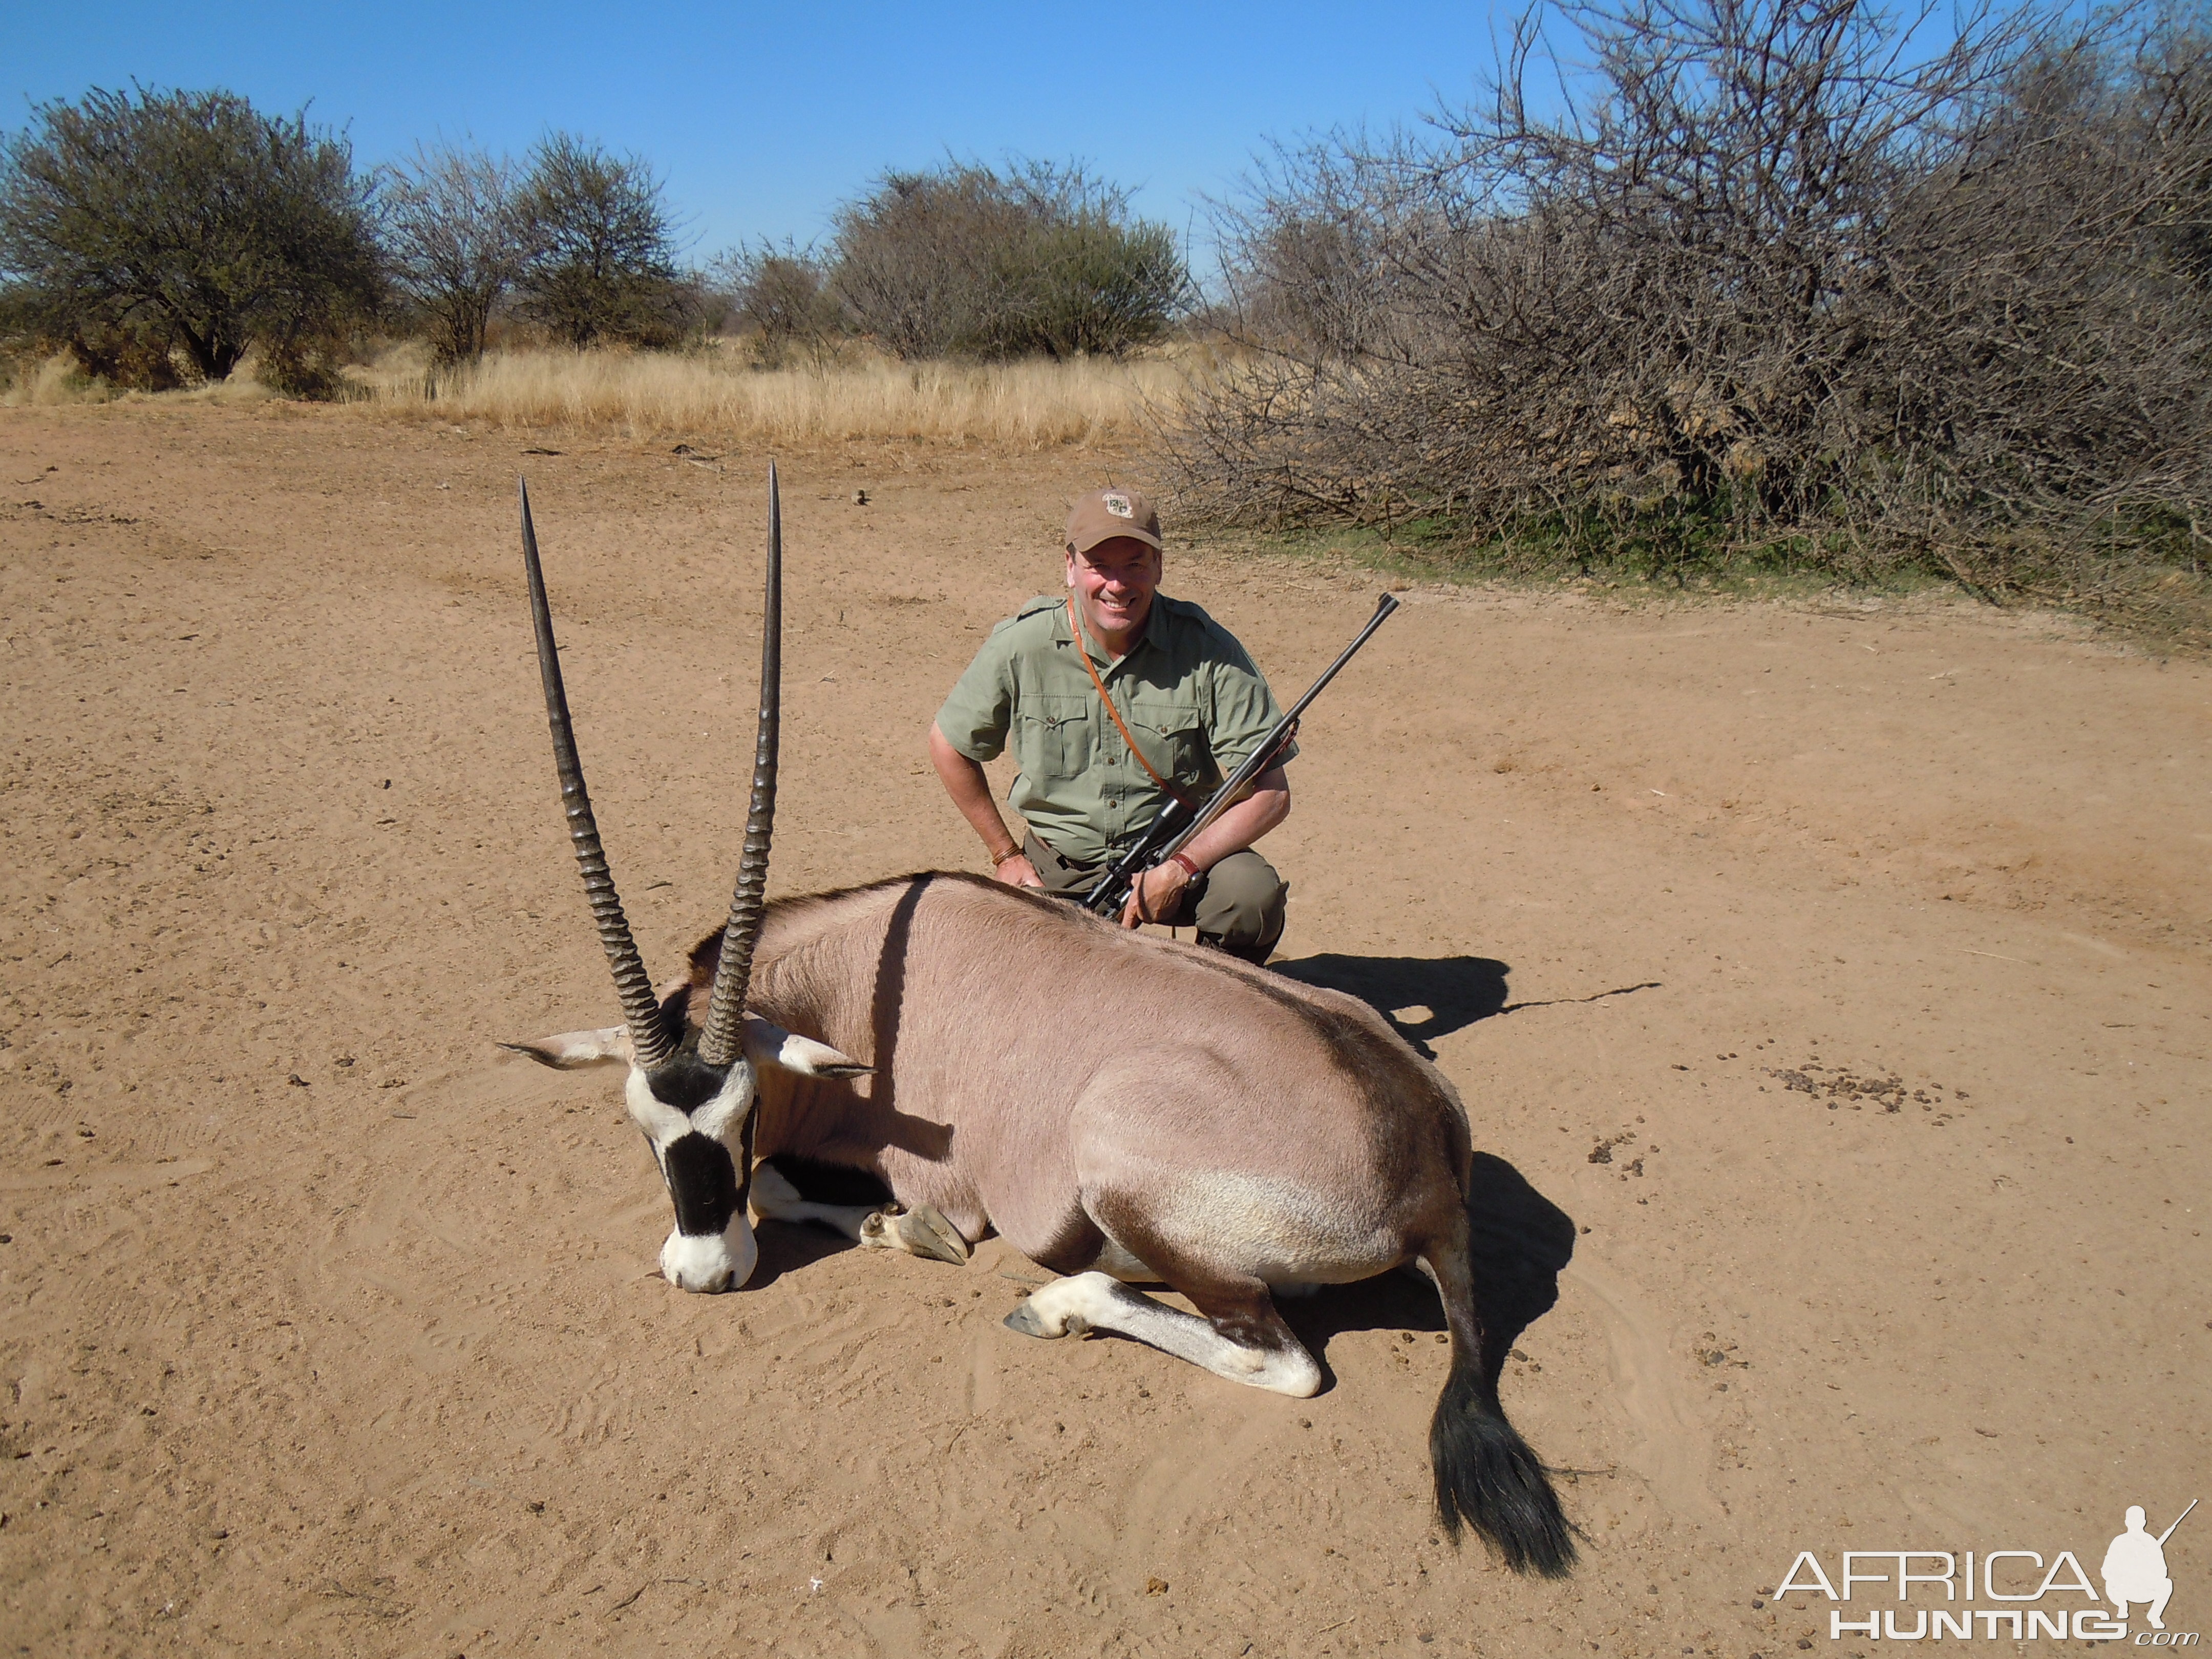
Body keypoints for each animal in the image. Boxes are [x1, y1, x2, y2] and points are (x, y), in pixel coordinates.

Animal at [506, 473, 1575, 1575]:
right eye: (642, 1127)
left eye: (742, 1111)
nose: (705, 1276)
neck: (863, 983)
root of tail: (1430, 1173)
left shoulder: (926, 1171)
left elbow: (784, 1186)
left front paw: (906, 1230)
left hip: (1129, 1169)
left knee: (1282, 1360)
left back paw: (1058, 1304)